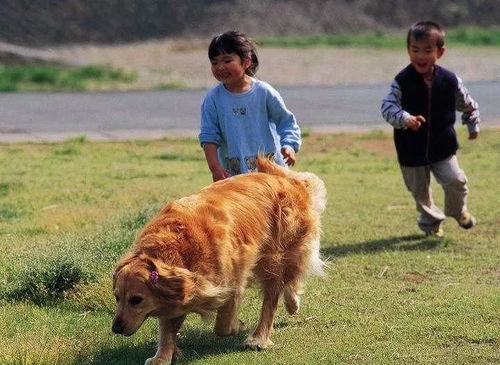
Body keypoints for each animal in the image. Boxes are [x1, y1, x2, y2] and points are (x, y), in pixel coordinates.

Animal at [111, 155, 326, 362]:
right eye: (117, 297)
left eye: (136, 300)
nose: (116, 329)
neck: (177, 247)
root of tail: (284, 178)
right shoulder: (176, 289)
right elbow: (167, 326)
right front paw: (163, 356)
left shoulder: (232, 276)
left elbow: (222, 324)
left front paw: (235, 326)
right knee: (290, 280)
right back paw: (292, 304)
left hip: (276, 255)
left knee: (273, 297)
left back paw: (259, 337)